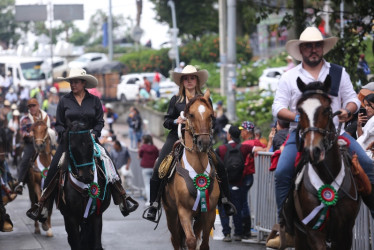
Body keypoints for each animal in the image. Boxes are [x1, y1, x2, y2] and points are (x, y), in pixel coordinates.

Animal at [57, 121, 111, 250]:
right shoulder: (70, 217)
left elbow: (96, 244)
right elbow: (76, 243)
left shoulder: (96, 215)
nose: (87, 176)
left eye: (90, 145)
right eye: (73, 147)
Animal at [163, 90, 221, 250]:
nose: (204, 143)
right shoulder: (184, 211)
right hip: (171, 212)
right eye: (191, 115)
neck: (198, 169)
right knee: (176, 239)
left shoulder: (209, 212)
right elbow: (190, 241)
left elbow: (204, 243)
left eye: (211, 115)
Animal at [284, 76, 360, 250]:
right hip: (299, 235)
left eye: (326, 109)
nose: (313, 151)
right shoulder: (313, 232)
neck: (327, 177)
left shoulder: (346, 231)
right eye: (300, 111)